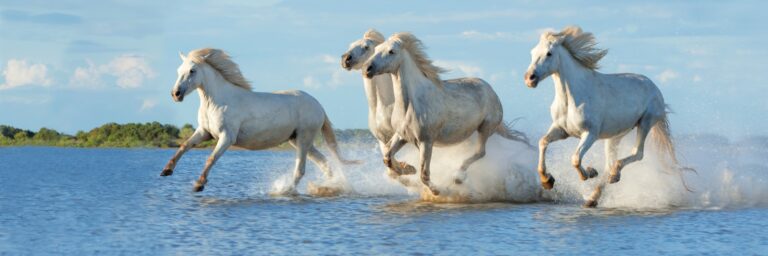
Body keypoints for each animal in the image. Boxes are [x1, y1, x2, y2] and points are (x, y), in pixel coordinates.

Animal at [160, 48, 358, 193]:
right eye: (178, 71)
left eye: (192, 71)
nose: (176, 94)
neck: (217, 101)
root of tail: (319, 106)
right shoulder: (204, 132)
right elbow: (184, 146)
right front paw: (166, 171)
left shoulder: (227, 137)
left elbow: (211, 158)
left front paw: (199, 184)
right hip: (298, 141)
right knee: (324, 163)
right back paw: (329, 187)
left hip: (303, 139)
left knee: (301, 170)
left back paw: (285, 191)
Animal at [340, 29, 416, 182]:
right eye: (351, 44)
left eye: (366, 47)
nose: (345, 59)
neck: (383, 107)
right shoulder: (382, 139)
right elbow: (390, 168)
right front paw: (406, 168)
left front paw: (409, 169)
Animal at [364, 32, 528, 196]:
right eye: (376, 49)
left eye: (391, 51)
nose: (368, 69)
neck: (410, 104)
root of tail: (491, 90)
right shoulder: (401, 136)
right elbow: (387, 158)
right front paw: (408, 169)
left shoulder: (426, 141)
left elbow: (424, 174)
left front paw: (437, 190)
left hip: (485, 128)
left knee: (480, 152)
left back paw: (458, 178)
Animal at [524, 25, 688, 206]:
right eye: (532, 52)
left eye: (549, 53)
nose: (530, 78)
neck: (573, 97)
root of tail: (655, 88)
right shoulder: (561, 130)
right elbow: (543, 142)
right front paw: (547, 181)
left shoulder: (590, 134)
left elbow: (575, 158)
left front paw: (588, 173)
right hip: (615, 136)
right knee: (610, 164)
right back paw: (594, 196)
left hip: (645, 122)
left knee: (636, 153)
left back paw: (613, 176)